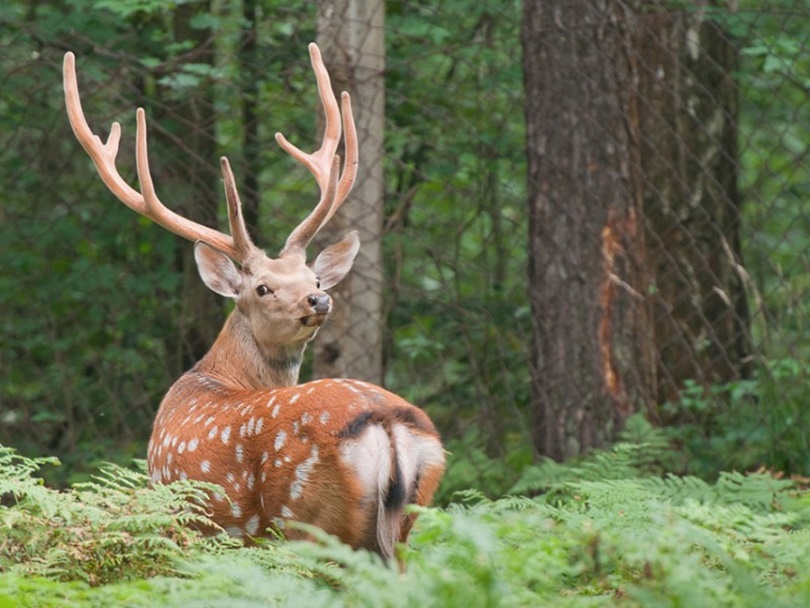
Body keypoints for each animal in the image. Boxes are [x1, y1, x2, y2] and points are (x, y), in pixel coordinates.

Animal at [61, 45, 442, 564]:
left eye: (314, 277)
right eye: (262, 288)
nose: (319, 297)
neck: (216, 375)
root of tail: (387, 425)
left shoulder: (185, 521)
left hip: (308, 522)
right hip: (405, 523)